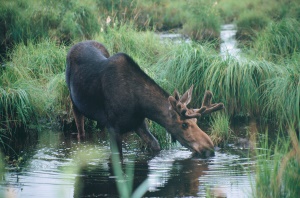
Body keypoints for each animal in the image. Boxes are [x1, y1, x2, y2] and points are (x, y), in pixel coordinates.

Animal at [66, 40, 225, 158]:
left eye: (196, 121)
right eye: (184, 125)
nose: (210, 148)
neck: (139, 105)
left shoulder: (139, 123)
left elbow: (155, 145)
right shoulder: (112, 127)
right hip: (74, 103)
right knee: (80, 133)